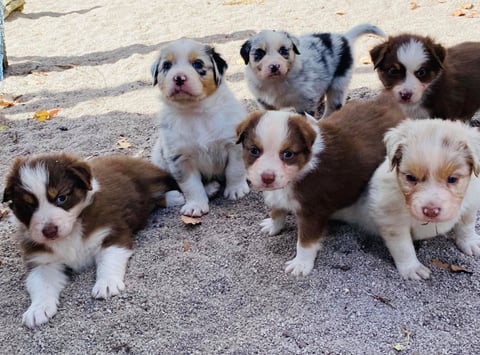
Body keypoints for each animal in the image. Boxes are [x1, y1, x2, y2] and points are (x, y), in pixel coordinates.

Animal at [1, 154, 180, 330]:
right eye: (29, 206)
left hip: (148, 177)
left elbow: (108, 261)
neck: (71, 233)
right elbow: (41, 283)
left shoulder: (112, 233)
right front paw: (38, 309)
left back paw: (174, 197)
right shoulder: (42, 261)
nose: (49, 231)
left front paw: (107, 284)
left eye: (61, 198)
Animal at [151, 36, 249, 217]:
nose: (179, 78)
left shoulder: (234, 144)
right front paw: (195, 205)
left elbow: (235, 169)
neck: (196, 111)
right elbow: (191, 185)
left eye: (197, 64)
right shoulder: (179, 157)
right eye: (167, 65)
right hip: (158, 159)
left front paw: (237, 190)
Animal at [236, 95, 404, 278]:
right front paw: (273, 226)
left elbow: (305, 242)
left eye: (288, 154)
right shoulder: (278, 193)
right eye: (254, 151)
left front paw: (301, 264)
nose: (267, 177)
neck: (303, 169)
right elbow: (276, 210)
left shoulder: (313, 209)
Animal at [242, 24, 384, 118]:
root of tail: (344, 38)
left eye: (283, 51)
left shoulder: (304, 102)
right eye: (260, 53)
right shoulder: (265, 104)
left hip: (339, 82)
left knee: (333, 107)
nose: (274, 66)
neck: (277, 81)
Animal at [334, 119, 480, 280]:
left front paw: (471, 242)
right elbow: (403, 247)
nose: (430, 211)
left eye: (452, 179)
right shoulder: (391, 220)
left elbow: (466, 225)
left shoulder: (472, 200)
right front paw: (412, 268)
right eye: (410, 177)